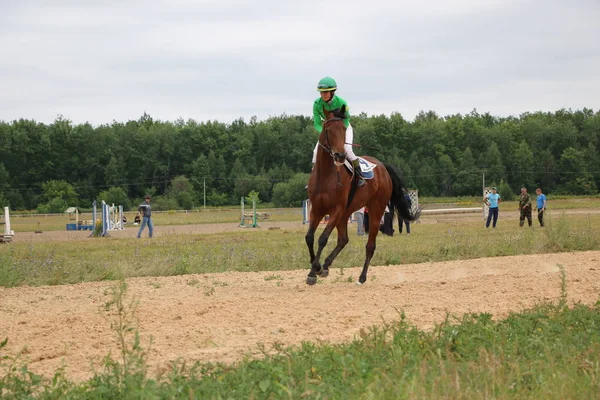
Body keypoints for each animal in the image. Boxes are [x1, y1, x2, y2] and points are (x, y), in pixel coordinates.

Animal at [304, 104, 418, 286]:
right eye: (328, 130)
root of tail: (382, 166)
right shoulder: (317, 209)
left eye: (344, 130)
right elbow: (309, 237)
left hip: (375, 210)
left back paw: (361, 277)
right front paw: (314, 270)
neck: (326, 175)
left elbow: (322, 238)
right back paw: (327, 265)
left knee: (370, 245)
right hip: (346, 213)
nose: (340, 155)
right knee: (343, 239)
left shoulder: (336, 209)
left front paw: (315, 269)